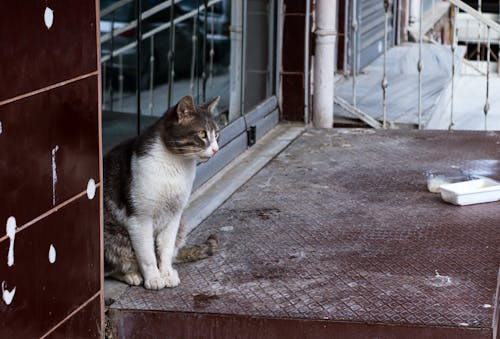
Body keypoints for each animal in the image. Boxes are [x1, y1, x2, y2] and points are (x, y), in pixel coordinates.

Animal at [104, 95, 220, 290]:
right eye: (202, 134)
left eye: (217, 134)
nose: (216, 149)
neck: (175, 164)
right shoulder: (140, 218)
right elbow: (147, 254)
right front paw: (154, 278)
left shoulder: (174, 215)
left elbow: (165, 249)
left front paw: (166, 274)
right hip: (111, 236)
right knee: (113, 265)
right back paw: (131, 275)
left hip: (182, 225)